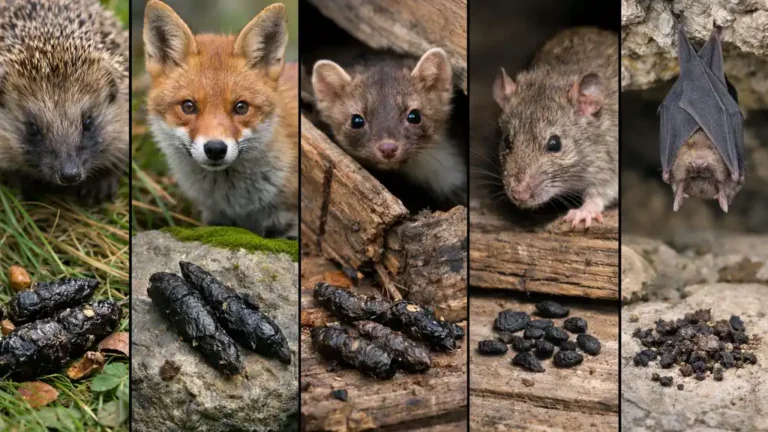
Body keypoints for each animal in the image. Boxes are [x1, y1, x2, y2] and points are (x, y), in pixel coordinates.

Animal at [143, 1, 298, 239]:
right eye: (188, 106)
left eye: (241, 107)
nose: (215, 149)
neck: (237, 205)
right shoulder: (217, 219)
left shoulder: (286, 223)